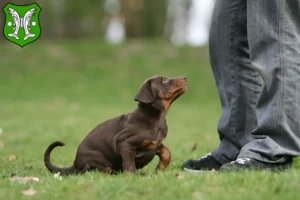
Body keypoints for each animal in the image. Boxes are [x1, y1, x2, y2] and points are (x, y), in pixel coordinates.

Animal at [44, 76, 186, 174]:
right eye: (164, 80)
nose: (185, 77)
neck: (156, 117)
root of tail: (75, 164)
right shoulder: (125, 143)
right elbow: (129, 166)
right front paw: (132, 176)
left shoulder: (156, 143)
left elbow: (167, 152)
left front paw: (161, 166)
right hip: (99, 161)